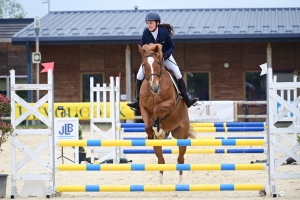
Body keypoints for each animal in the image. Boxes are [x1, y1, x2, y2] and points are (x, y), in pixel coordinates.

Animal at [138, 43, 195, 184]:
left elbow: (157, 108)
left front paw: (158, 127)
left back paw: (180, 184)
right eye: (144, 65)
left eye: (158, 63)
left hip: (181, 135)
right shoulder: (142, 107)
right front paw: (153, 130)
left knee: (180, 159)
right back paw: (161, 184)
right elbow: (148, 124)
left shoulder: (171, 103)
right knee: (161, 161)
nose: (155, 88)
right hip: (159, 145)